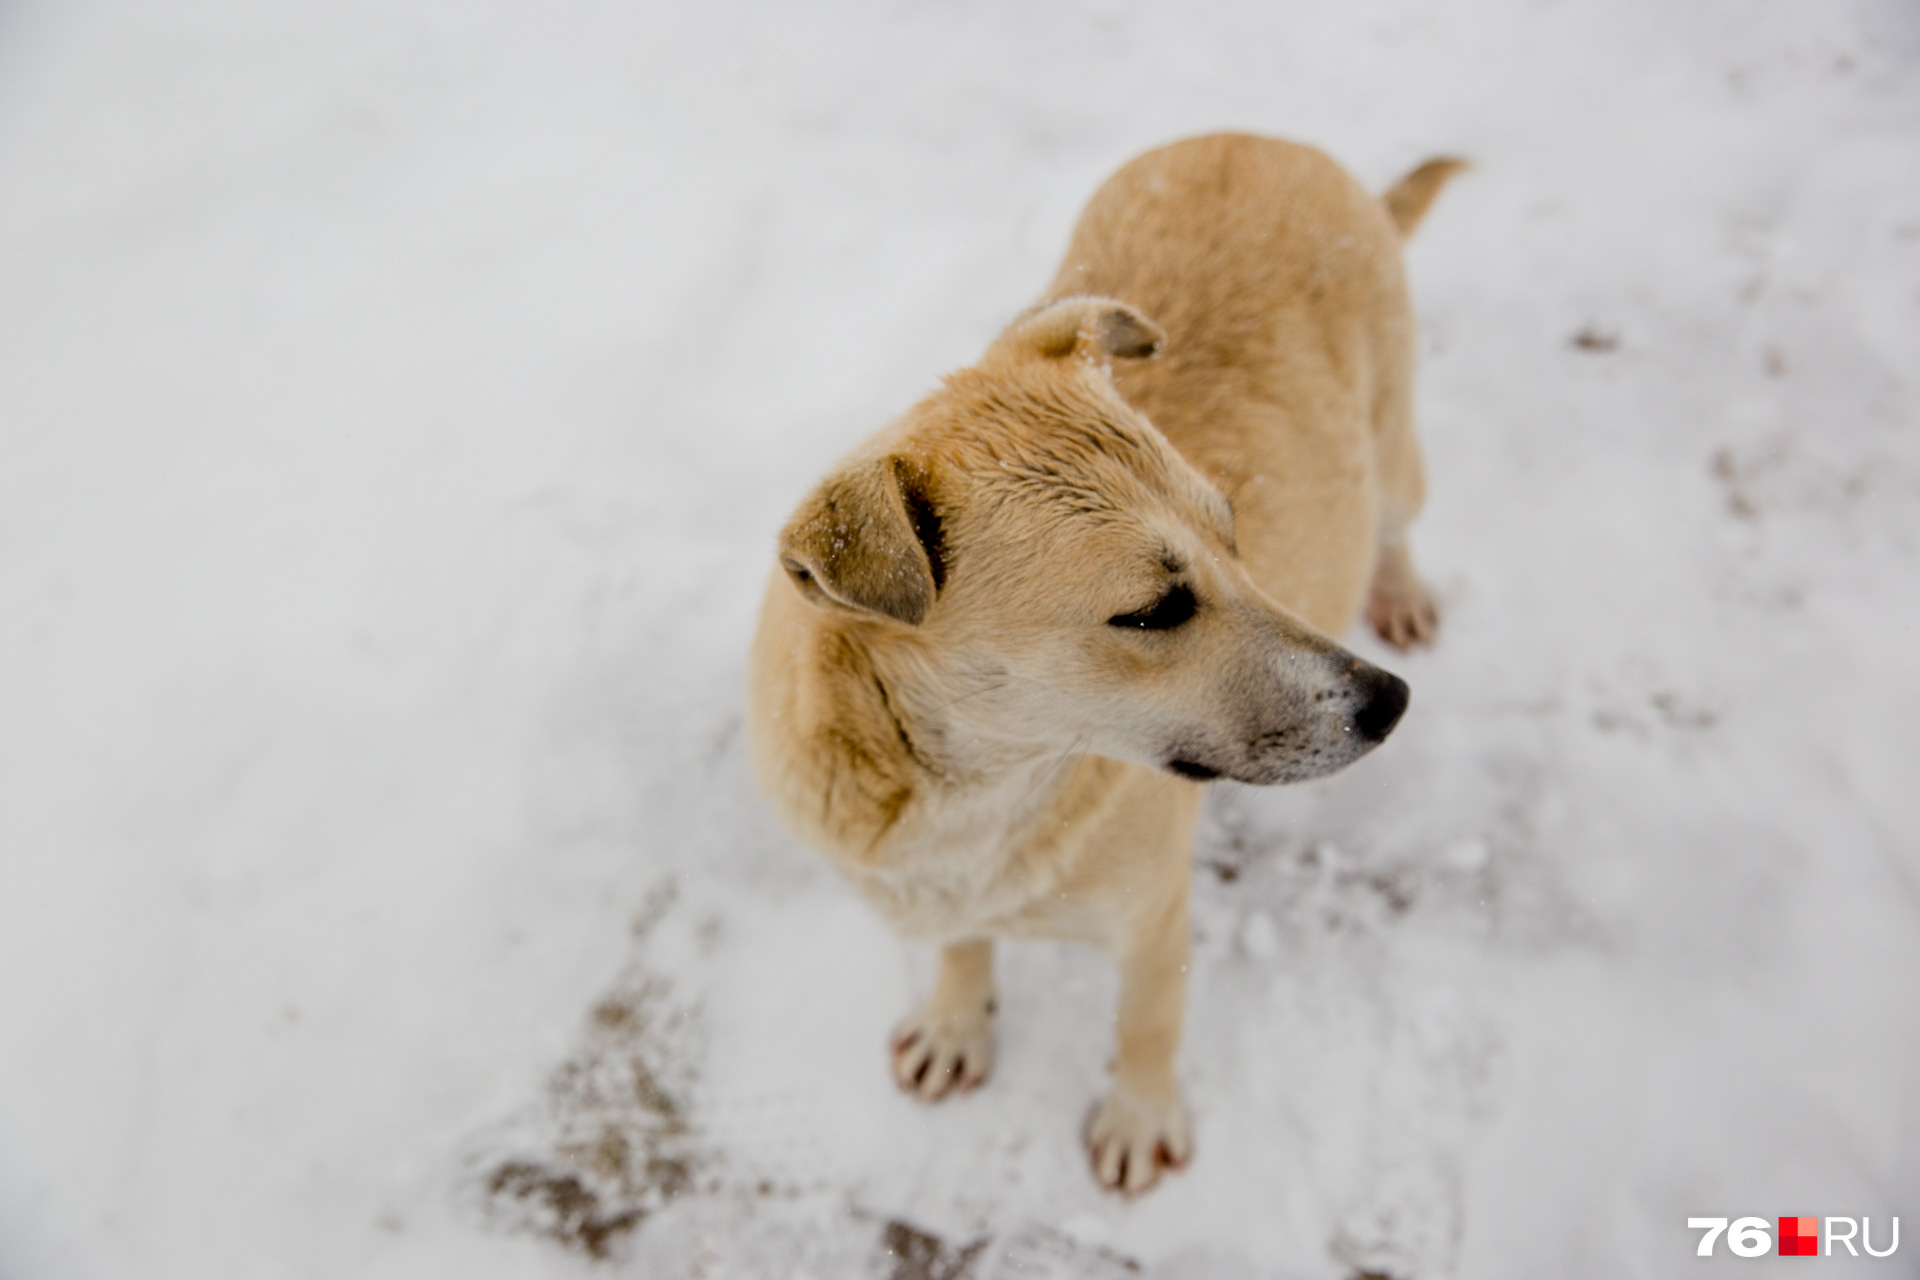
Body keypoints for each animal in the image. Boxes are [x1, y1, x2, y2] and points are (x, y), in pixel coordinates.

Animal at [737, 135, 1451, 1197]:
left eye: (1233, 536)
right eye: (1152, 611)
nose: (1389, 703)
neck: (978, 787)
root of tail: (1260, 137)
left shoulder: (1156, 918)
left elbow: (1145, 1024)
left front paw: (1139, 1117)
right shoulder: (948, 892)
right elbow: (965, 946)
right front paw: (957, 1020)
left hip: (1396, 448)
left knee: (1397, 521)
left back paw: (1398, 587)